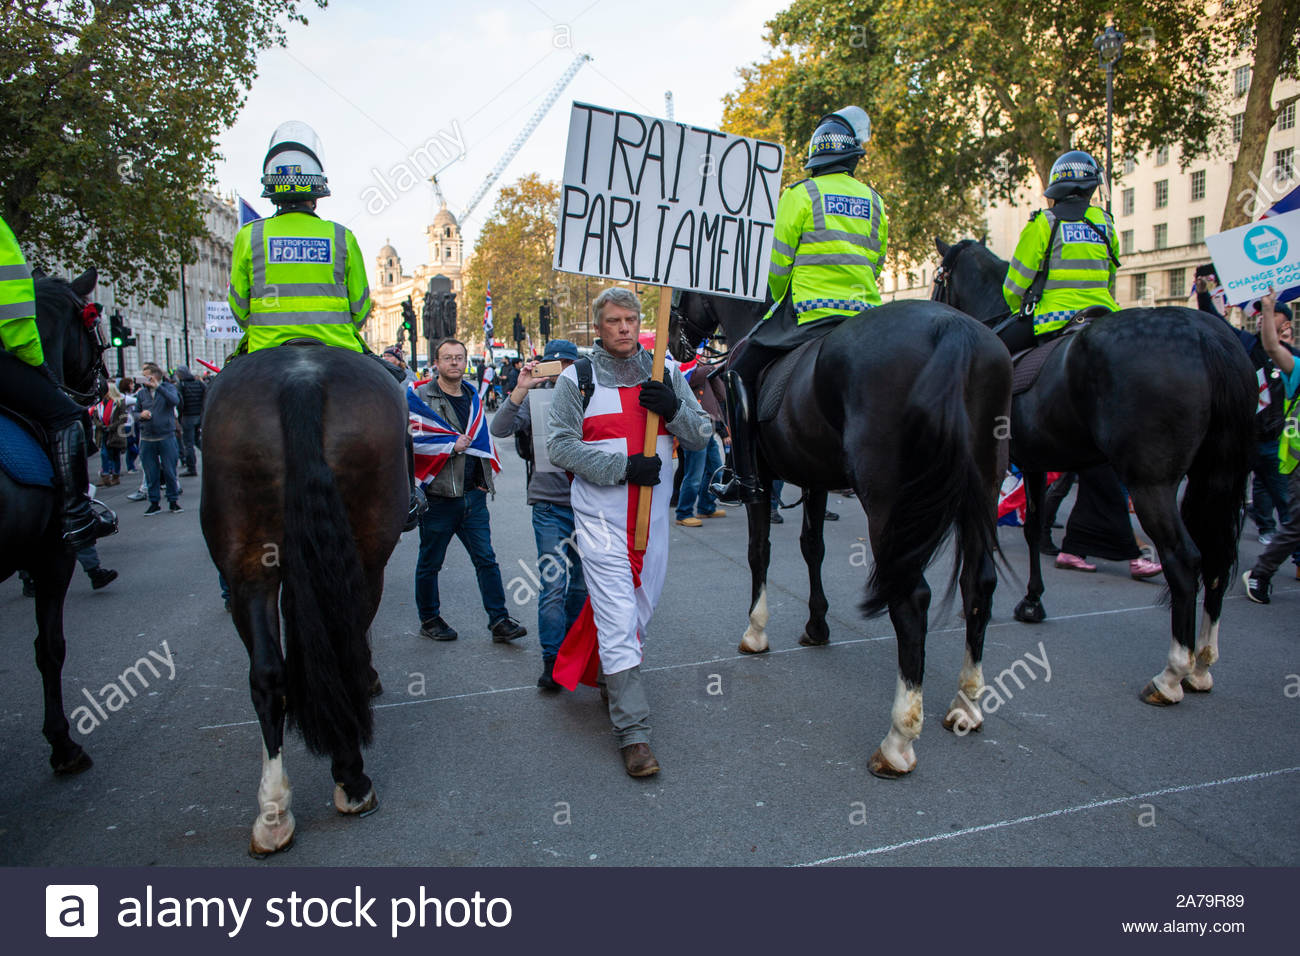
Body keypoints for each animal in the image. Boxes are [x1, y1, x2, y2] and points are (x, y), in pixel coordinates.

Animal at [200, 343, 405, 858]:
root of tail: (301, 379)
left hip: (249, 559)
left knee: (271, 672)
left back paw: (288, 805)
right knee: (292, 665)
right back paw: (326, 789)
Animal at [670, 295, 1013, 780]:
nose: (674, 342)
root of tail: (952, 327)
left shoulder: (763, 481)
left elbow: (759, 553)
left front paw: (755, 632)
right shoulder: (815, 478)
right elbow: (812, 549)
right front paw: (817, 626)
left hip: (886, 493)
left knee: (912, 599)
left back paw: (898, 741)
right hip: (982, 484)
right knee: (978, 583)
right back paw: (966, 704)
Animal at [935, 236, 1258, 707]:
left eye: (939, 278)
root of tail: (1207, 336)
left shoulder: (1007, 466)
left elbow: (1012, 529)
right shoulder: (1035, 462)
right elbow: (1031, 526)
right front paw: (1032, 600)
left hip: (1150, 482)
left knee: (1185, 558)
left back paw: (1171, 675)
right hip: (1216, 473)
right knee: (1217, 557)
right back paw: (1201, 665)